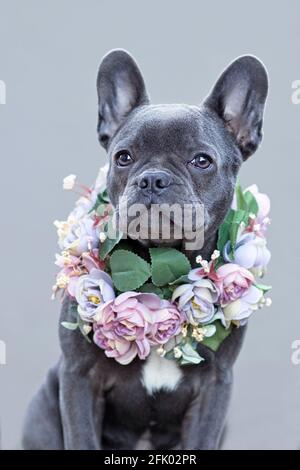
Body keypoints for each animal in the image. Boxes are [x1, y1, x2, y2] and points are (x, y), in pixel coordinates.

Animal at [22, 49, 268, 450]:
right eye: (123, 157)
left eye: (202, 160)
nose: (153, 178)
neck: (159, 272)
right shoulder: (79, 378)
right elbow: (81, 435)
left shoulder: (214, 389)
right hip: (44, 409)